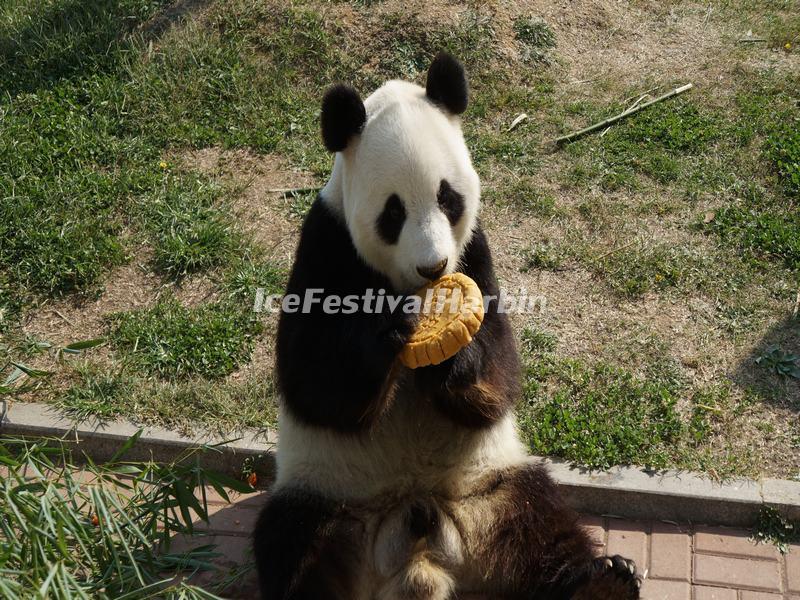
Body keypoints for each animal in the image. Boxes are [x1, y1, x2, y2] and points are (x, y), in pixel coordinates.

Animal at [253, 53, 641, 600]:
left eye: (448, 198)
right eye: (393, 211)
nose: (434, 267)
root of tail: (418, 552)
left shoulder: (475, 251)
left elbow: (500, 370)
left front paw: (456, 359)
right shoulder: (326, 243)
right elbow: (311, 382)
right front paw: (389, 331)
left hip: (489, 489)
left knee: (542, 524)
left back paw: (607, 578)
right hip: (331, 494)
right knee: (293, 538)